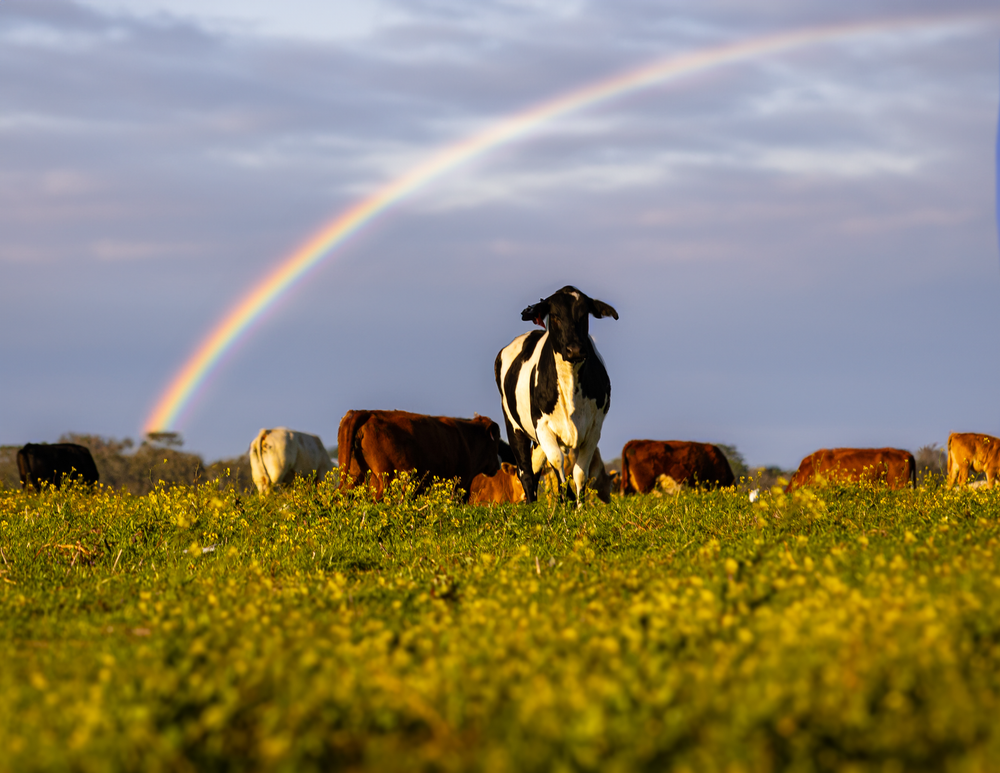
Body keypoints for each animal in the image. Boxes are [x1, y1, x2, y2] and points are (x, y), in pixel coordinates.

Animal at [495, 285, 618, 506]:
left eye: (584, 314)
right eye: (555, 315)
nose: (575, 349)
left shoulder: (593, 430)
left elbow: (580, 474)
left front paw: (579, 508)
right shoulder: (543, 426)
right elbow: (558, 463)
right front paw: (563, 507)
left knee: (535, 469)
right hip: (514, 426)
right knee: (526, 472)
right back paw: (532, 506)